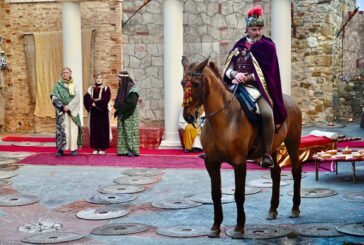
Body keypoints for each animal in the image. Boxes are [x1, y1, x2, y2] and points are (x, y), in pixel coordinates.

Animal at [181, 56, 302, 238]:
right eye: (182, 83)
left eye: (195, 84)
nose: (188, 116)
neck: (224, 119)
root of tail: (290, 100)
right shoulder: (211, 162)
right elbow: (215, 194)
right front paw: (215, 227)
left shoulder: (239, 163)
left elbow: (239, 194)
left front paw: (239, 228)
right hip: (273, 147)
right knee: (276, 172)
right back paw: (272, 209)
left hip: (293, 142)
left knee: (296, 170)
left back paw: (295, 208)